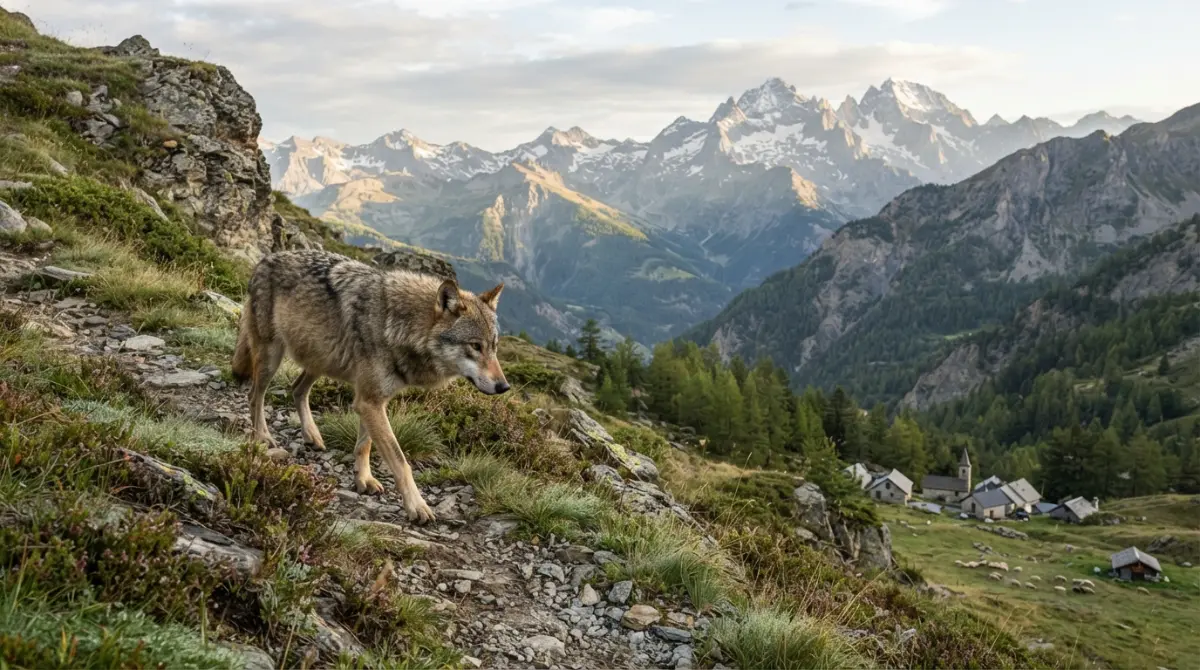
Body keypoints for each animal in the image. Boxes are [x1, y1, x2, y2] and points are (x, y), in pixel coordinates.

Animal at [231, 249, 509, 522]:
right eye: (475, 346)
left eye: (494, 347)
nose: (504, 387)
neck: (398, 325)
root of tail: (267, 258)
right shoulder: (370, 401)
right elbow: (400, 460)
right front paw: (417, 506)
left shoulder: (371, 400)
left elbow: (365, 445)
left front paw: (363, 480)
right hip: (272, 357)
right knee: (255, 395)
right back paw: (263, 436)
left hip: (319, 362)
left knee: (297, 389)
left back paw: (312, 434)